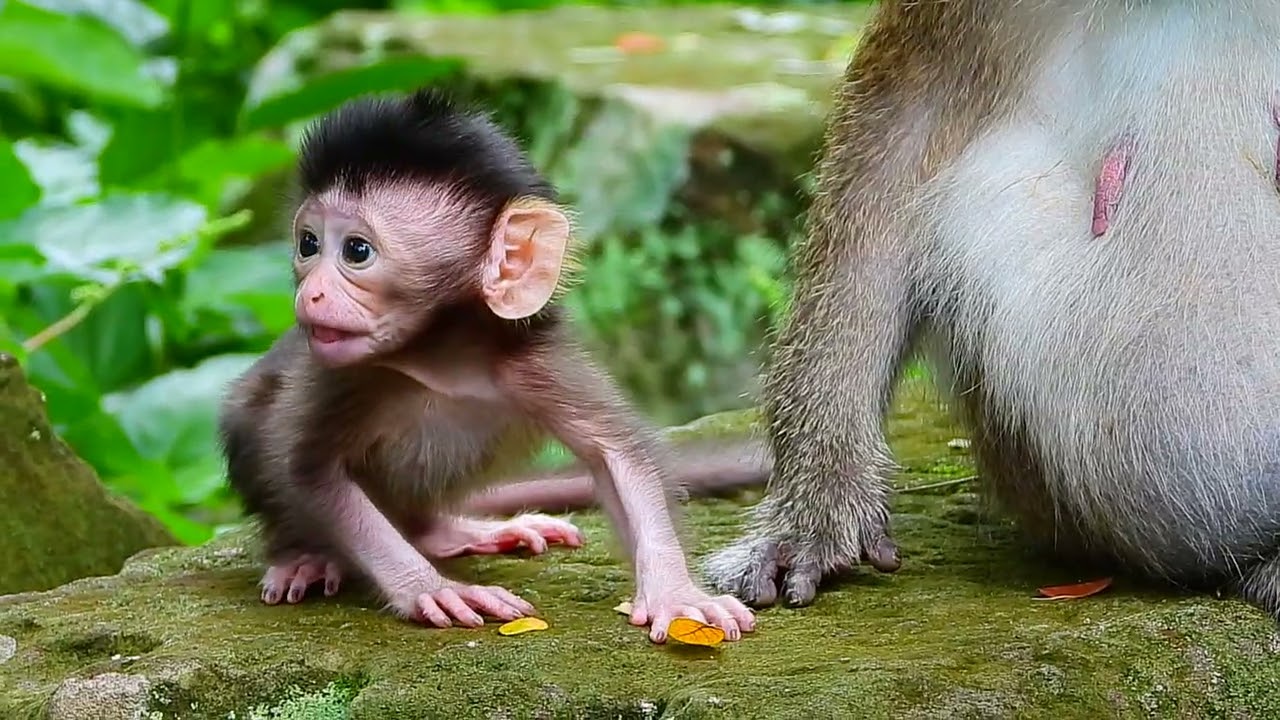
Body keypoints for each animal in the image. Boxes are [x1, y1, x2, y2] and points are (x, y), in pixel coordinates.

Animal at [217, 87, 756, 643]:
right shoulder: (347, 376)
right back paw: (305, 555)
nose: (312, 293)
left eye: (356, 250)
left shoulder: (536, 363)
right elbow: (310, 471)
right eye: (308, 244)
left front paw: (677, 593)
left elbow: (617, 455)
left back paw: (451, 531)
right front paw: (429, 589)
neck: (443, 360)